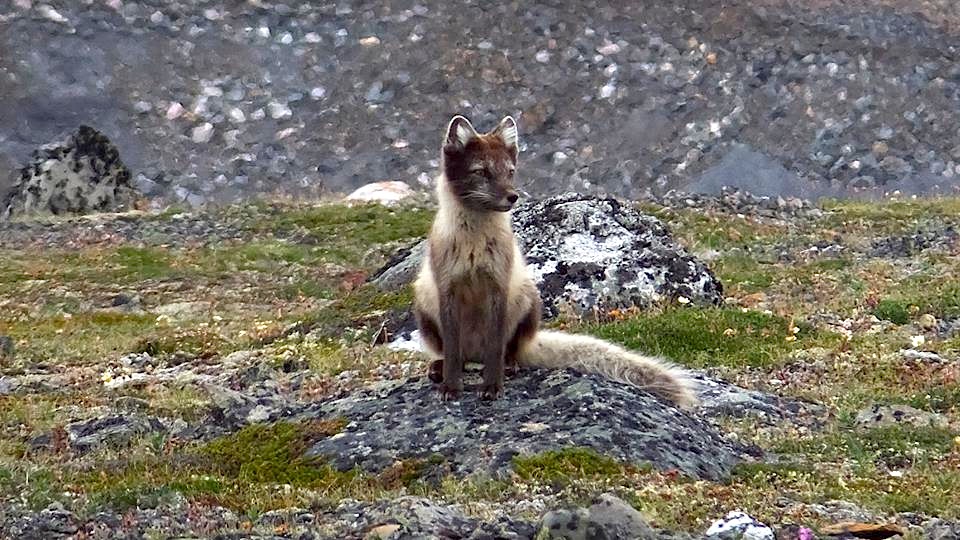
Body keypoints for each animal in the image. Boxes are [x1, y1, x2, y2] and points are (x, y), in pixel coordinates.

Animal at [412, 114, 698, 408]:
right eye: (481, 171)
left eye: (510, 171)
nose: (513, 196)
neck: (474, 247)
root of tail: (474, 356)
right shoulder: (447, 287)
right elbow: (452, 352)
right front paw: (450, 387)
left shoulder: (499, 286)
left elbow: (495, 348)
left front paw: (492, 387)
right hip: (424, 304)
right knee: (455, 355)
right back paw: (438, 368)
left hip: (527, 298)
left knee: (508, 351)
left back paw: (509, 365)